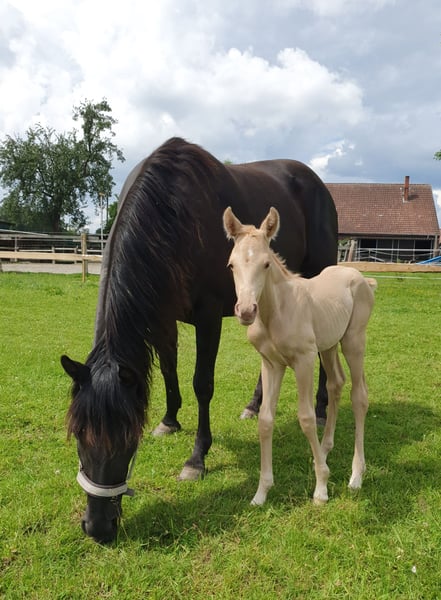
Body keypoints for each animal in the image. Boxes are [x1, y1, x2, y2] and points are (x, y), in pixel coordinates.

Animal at [61, 137, 337, 543]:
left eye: (127, 440)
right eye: (79, 435)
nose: (97, 527)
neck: (173, 212)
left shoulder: (208, 317)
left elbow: (201, 384)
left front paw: (196, 458)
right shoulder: (162, 316)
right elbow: (169, 371)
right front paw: (169, 420)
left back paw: (319, 410)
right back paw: (254, 405)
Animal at [223, 206, 376, 506]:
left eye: (266, 264)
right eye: (231, 265)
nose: (246, 311)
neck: (277, 311)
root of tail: (361, 277)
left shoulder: (304, 360)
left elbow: (306, 418)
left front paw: (321, 488)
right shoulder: (271, 364)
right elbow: (265, 420)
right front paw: (261, 493)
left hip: (353, 341)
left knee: (359, 396)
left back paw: (356, 476)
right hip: (328, 346)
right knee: (336, 383)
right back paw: (324, 452)